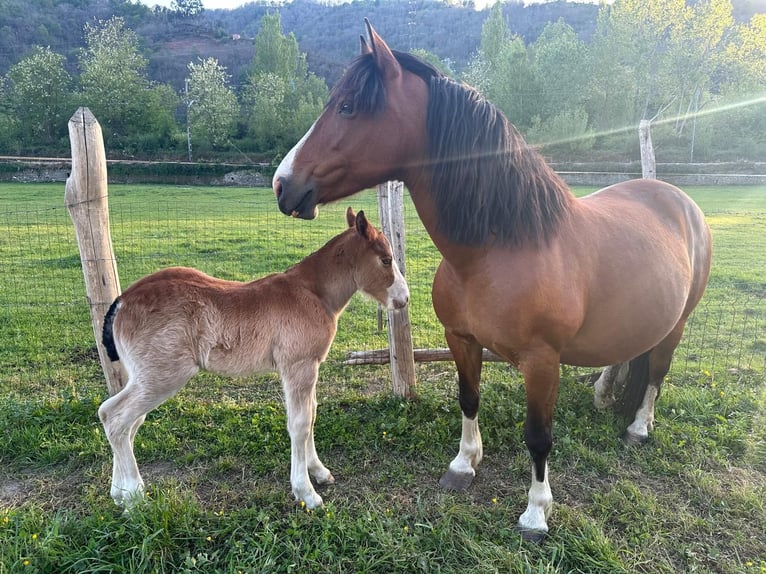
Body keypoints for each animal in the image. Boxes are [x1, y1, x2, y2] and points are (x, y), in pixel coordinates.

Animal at [272, 19, 712, 540]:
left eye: (347, 106)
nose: (282, 184)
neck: (496, 251)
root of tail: (679, 200)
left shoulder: (542, 363)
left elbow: (538, 437)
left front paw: (536, 512)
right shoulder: (461, 339)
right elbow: (468, 398)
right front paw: (464, 465)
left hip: (678, 324)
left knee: (657, 372)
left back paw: (639, 427)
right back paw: (604, 395)